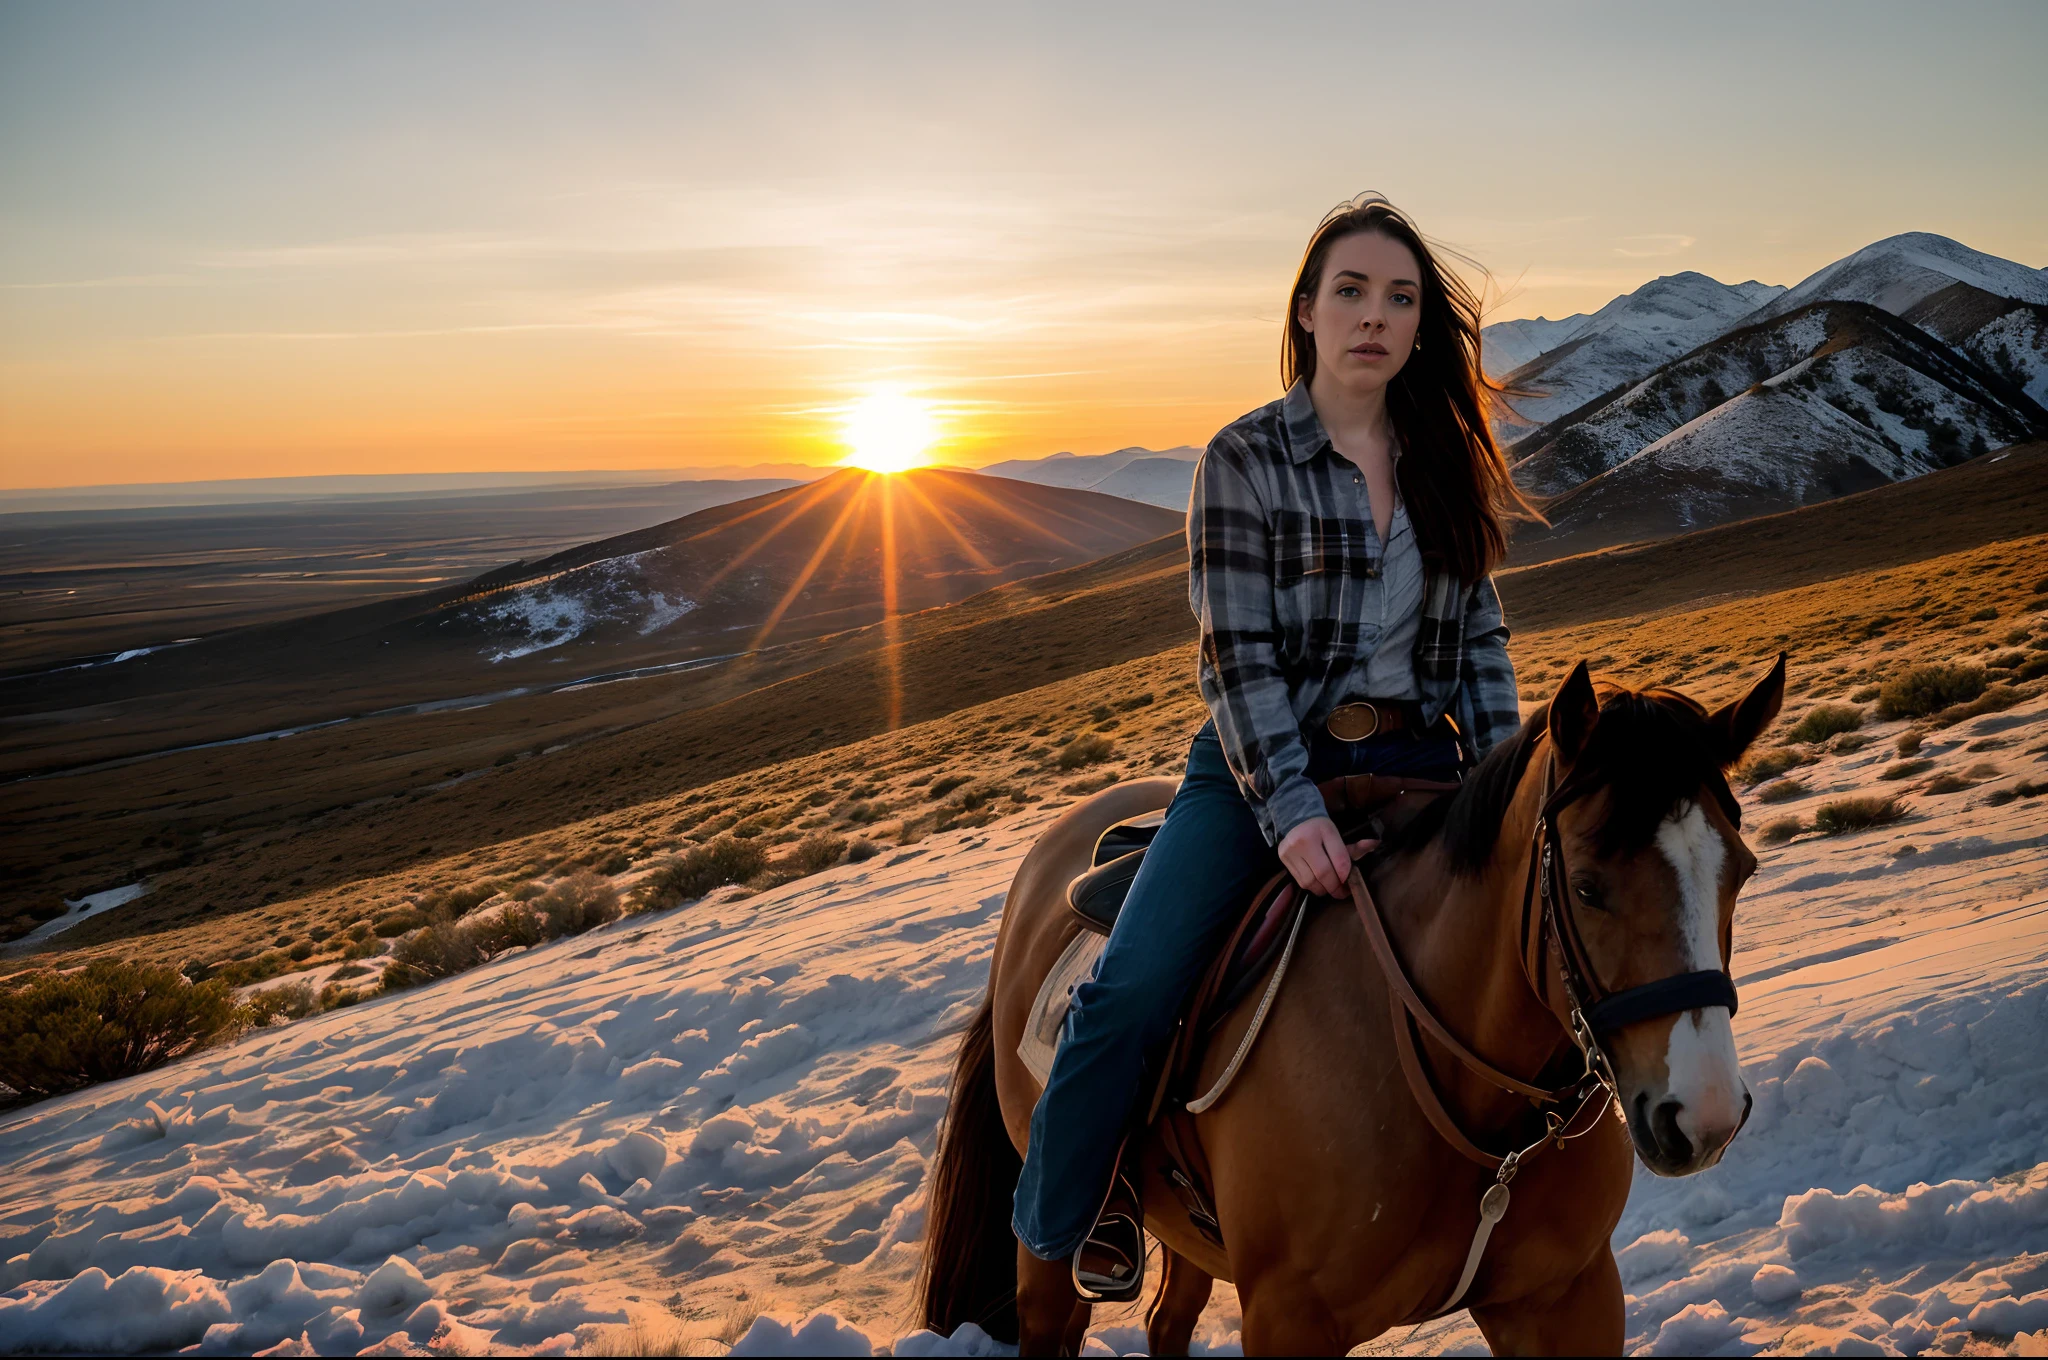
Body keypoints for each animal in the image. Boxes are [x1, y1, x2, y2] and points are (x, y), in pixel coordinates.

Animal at [921, 655, 1785, 1351]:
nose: (1703, 1116)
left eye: (1741, 870)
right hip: (1050, 1244)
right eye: (1586, 886)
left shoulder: (1565, 1296)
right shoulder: (1289, 1321)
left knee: (1169, 1322)